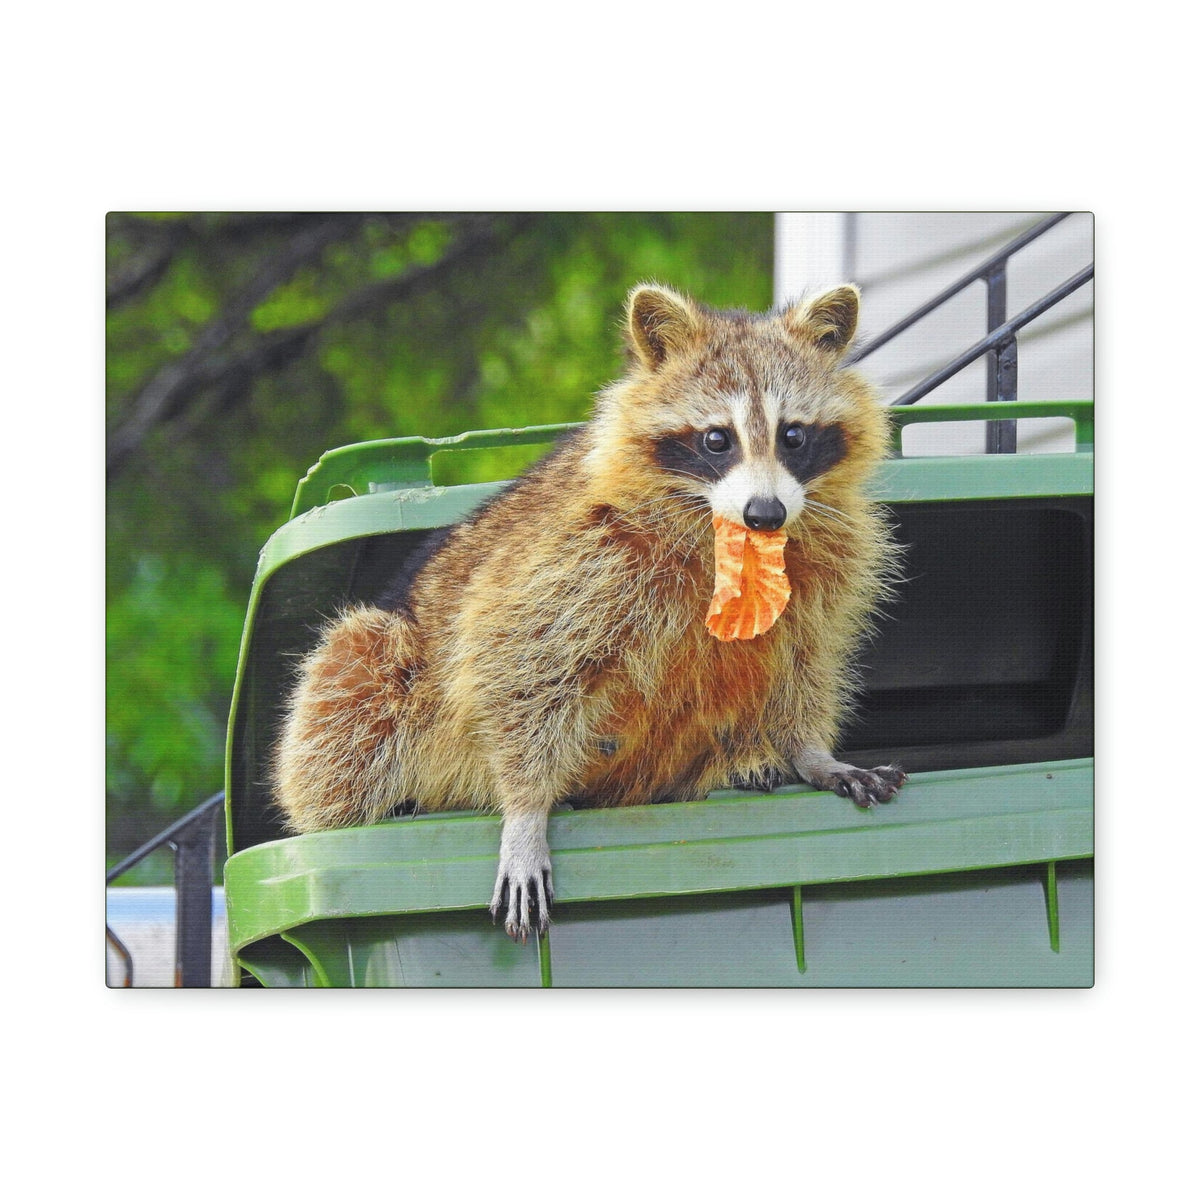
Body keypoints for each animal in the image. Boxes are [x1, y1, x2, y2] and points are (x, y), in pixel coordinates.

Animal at [274, 283, 906, 942]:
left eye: (793, 435)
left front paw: (809, 751)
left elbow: (803, 659)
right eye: (717, 439)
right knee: (352, 678)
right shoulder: (579, 552)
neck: (728, 535)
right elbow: (512, 657)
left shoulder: (825, 564)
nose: (766, 513)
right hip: (383, 664)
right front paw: (525, 810)